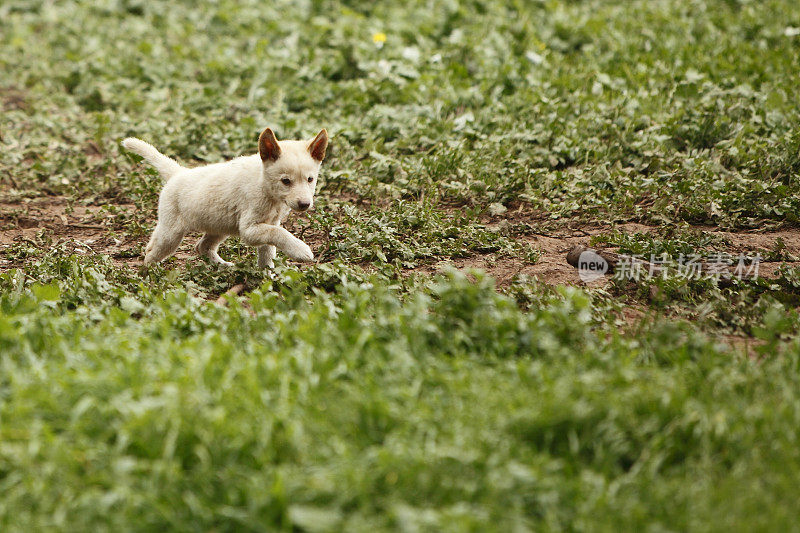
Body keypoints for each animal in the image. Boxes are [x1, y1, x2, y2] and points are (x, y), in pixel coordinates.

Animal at [121, 128, 324, 266]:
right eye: (286, 181)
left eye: (310, 179)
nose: (305, 204)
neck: (265, 186)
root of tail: (178, 173)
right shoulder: (249, 229)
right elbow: (279, 234)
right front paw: (300, 250)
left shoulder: (269, 223)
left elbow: (268, 250)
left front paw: (267, 277)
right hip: (171, 233)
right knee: (151, 252)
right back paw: (150, 274)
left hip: (218, 226)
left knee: (202, 247)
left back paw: (224, 267)